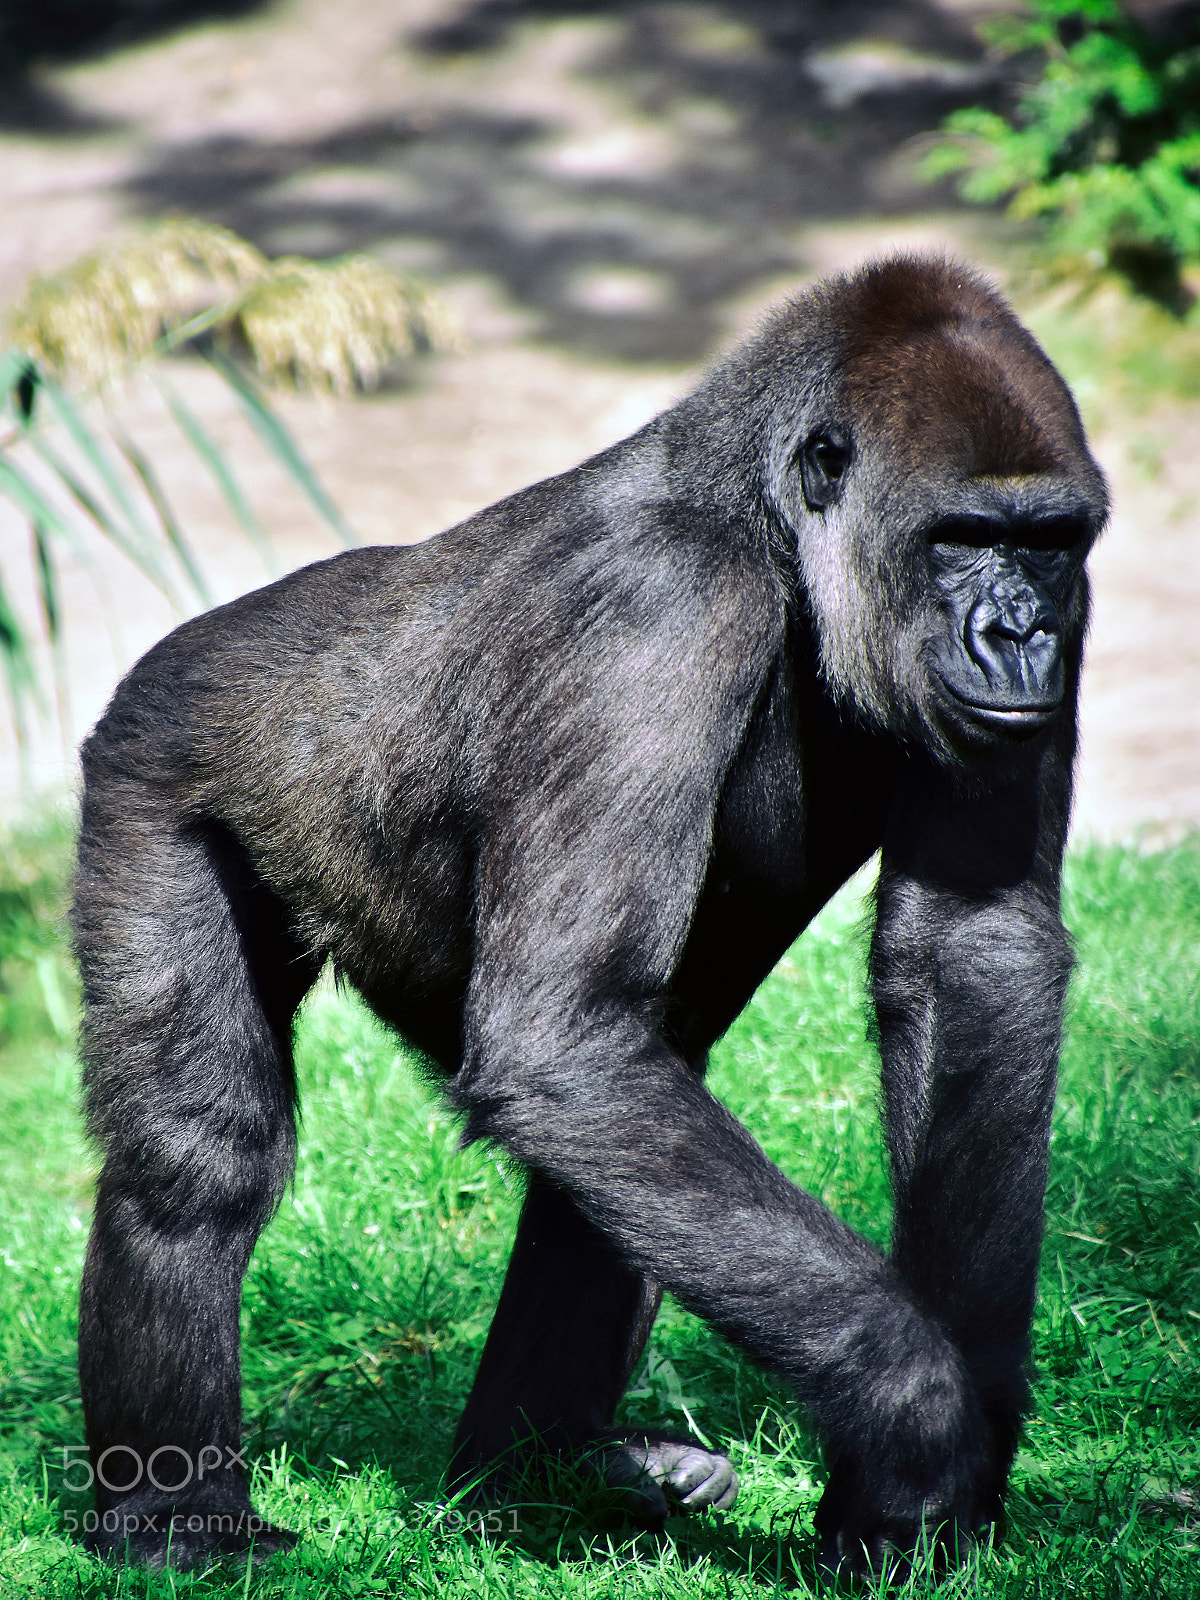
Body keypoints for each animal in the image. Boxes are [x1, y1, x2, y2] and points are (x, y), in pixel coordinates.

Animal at [70, 255, 1107, 1572]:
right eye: (963, 538)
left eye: (1050, 543)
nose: (1021, 634)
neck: (764, 522)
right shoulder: (656, 608)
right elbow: (565, 1043)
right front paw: (920, 1418)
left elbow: (971, 947)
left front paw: (977, 1419)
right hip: (151, 758)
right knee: (195, 1158)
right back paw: (175, 1517)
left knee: (630, 1122)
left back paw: (539, 1472)